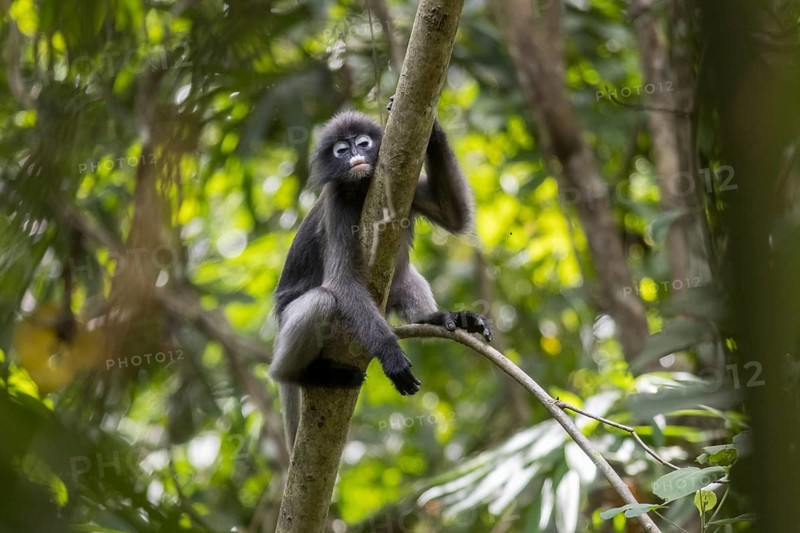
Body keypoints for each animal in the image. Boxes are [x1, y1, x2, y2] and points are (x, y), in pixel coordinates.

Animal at [269, 98, 492, 449]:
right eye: (341, 150)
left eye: (362, 143)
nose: (355, 157)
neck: (362, 190)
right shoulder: (336, 204)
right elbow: (342, 284)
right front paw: (391, 355)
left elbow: (455, 217)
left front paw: (433, 127)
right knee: (321, 300)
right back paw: (300, 374)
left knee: (405, 276)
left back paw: (438, 319)